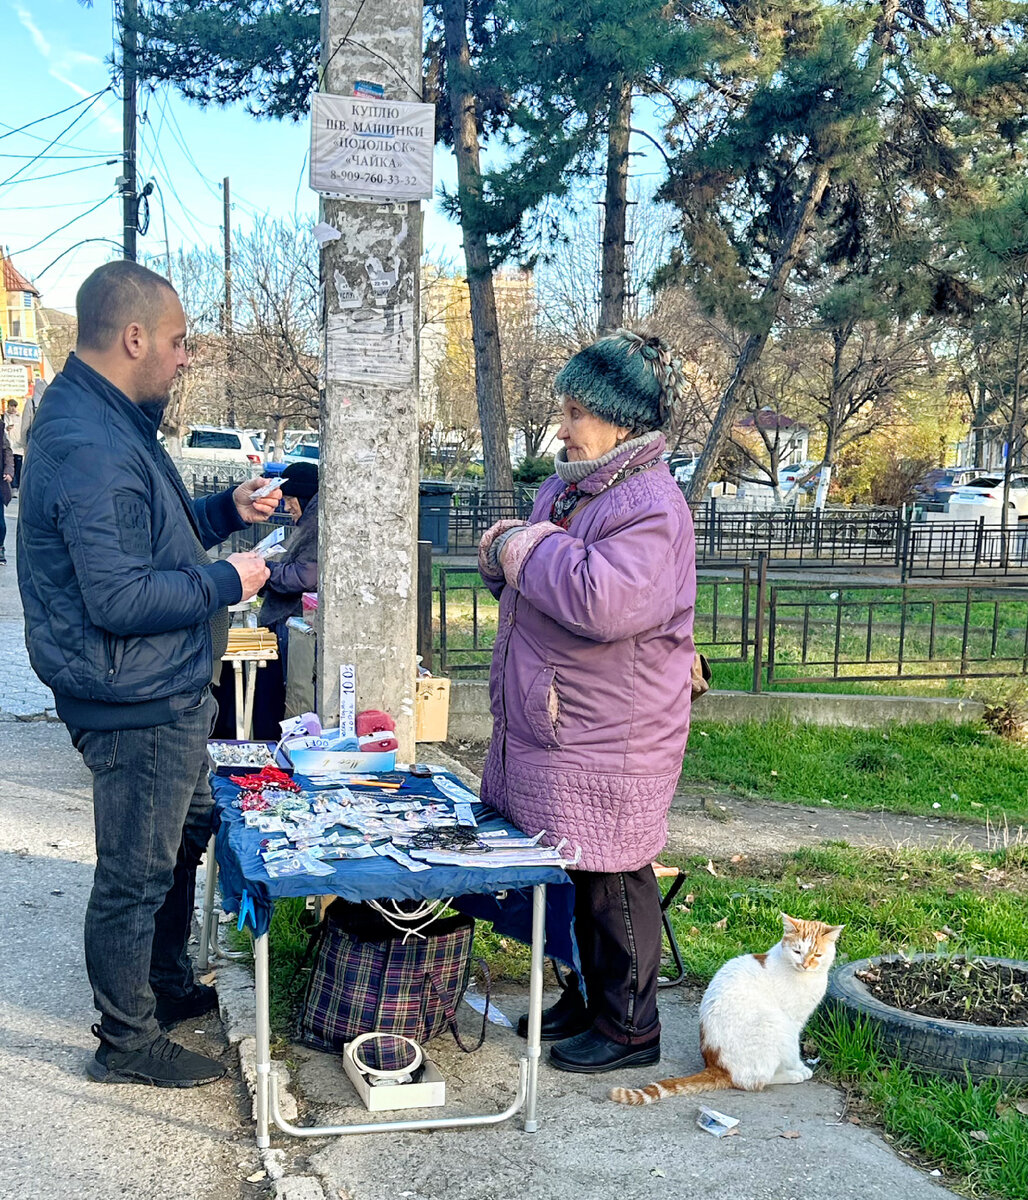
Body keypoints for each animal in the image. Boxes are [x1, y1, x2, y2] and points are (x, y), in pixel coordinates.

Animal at [609, 916, 844, 1104]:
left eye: (817, 955)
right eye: (797, 951)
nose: (805, 964)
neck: (806, 977)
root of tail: (718, 1066)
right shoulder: (793, 1023)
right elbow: (794, 1053)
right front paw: (800, 1067)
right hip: (776, 1025)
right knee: (754, 1082)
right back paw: (792, 1075)